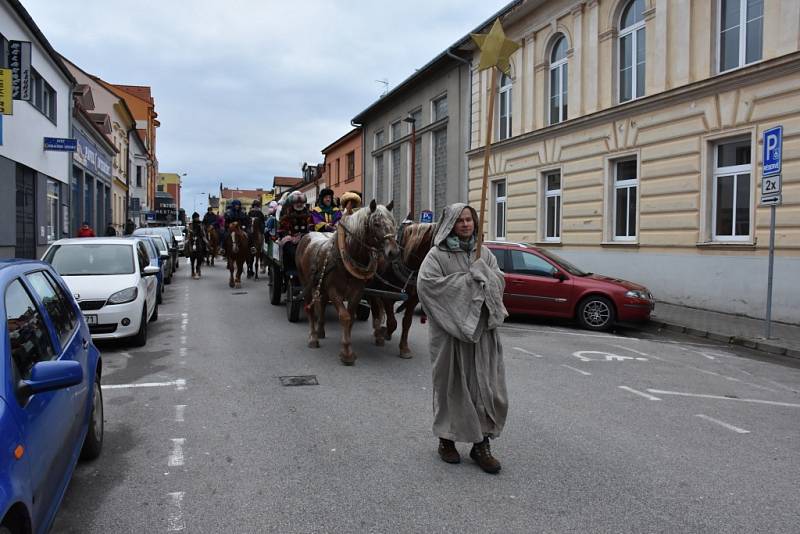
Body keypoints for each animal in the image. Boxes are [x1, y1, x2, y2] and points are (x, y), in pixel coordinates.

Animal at [296, 199, 398, 366]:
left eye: (393, 222)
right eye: (376, 223)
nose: (394, 252)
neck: (347, 255)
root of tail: (307, 236)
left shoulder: (356, 292)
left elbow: (351, 318)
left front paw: (347, 346)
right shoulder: (334, 291)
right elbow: (344, 317)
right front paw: (346, 353)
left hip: (321, 286)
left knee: (321, 305)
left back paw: (320, 330)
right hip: (306, 284)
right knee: (310, 309)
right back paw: (313, 338)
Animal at [370, 223, 438, 360]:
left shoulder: (413, 299)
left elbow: (407, 323)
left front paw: (404, 348)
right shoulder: (387, 296)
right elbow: (393, 323)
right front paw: (385, 333)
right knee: (375, 310)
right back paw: (378, 335)